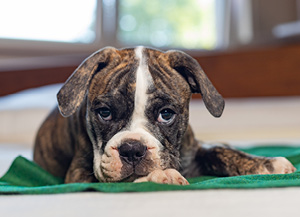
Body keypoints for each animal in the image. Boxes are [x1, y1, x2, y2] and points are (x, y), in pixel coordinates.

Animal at [32, 46, 296, 184]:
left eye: (166, 114)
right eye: (104, 113)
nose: (132, 149)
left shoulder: (193, 152)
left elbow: (218, 152)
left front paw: (265, 163)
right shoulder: (78, 173)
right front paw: (159, 176)